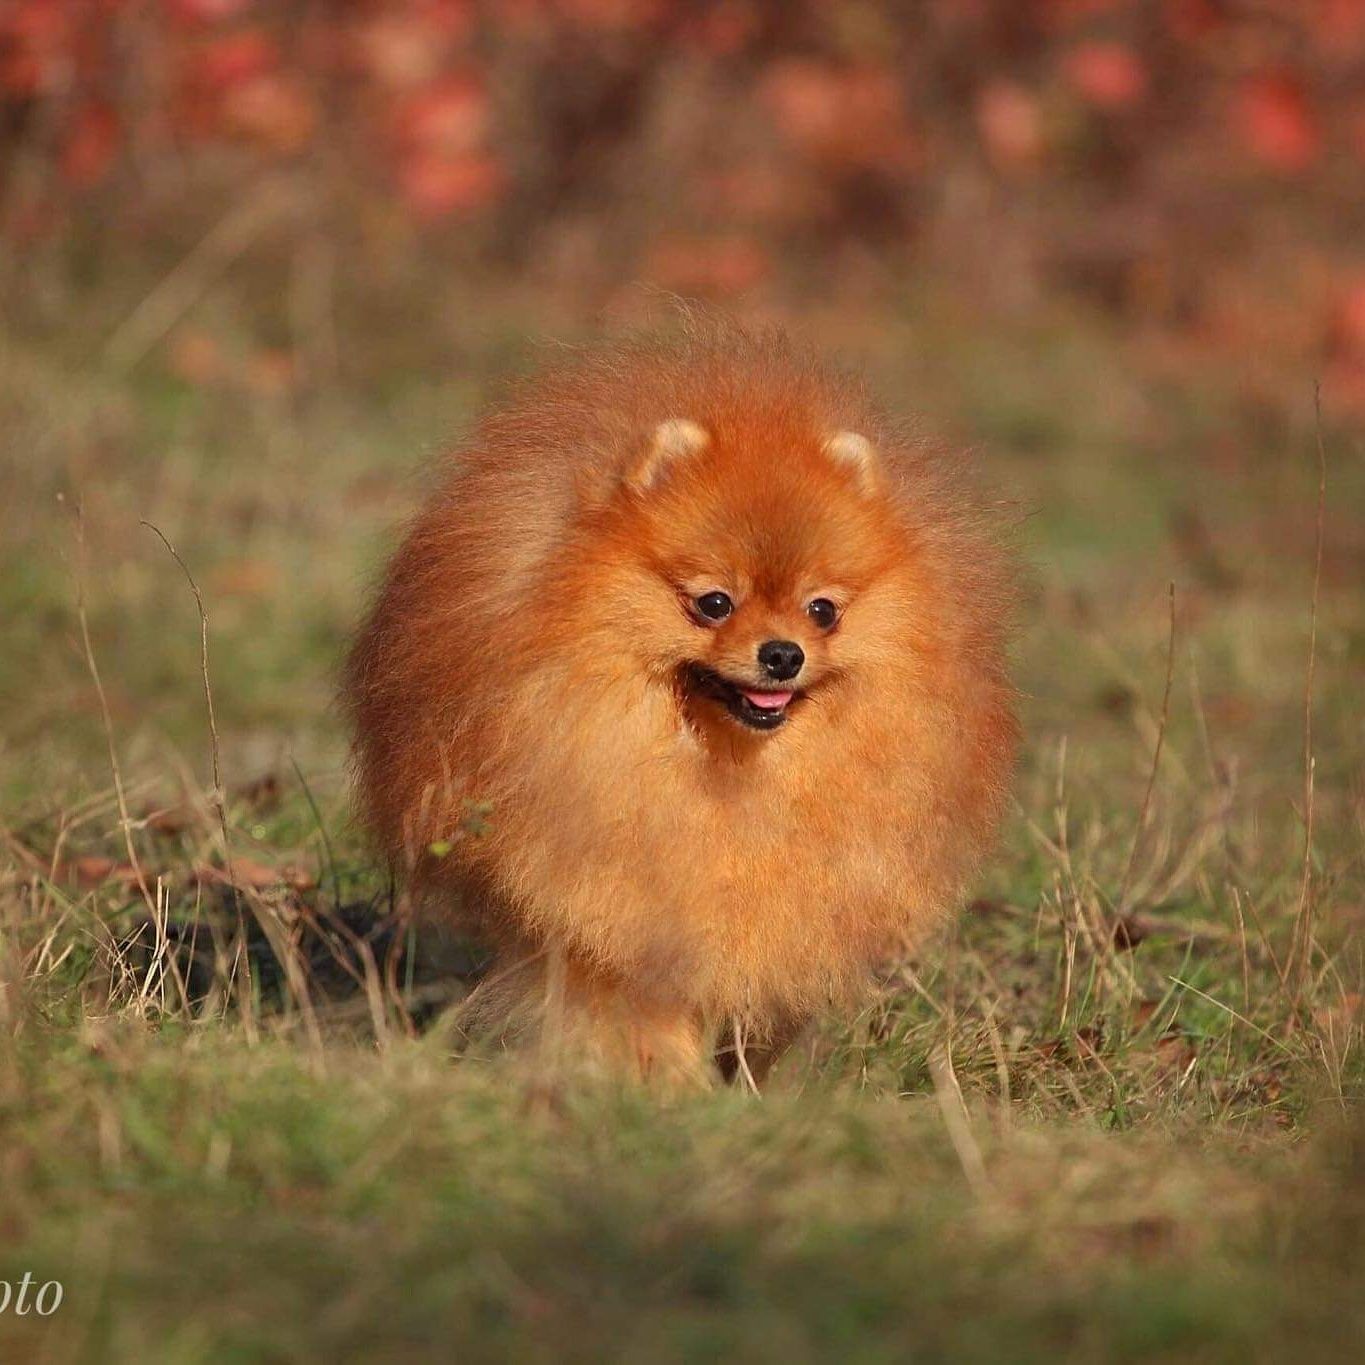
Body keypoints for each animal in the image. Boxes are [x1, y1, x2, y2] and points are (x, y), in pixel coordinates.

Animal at [346, 319, 1021, 1086]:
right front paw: (664, 1085)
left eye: (822, 610)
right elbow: (636, 1005)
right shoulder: (610, 904)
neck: (730, 774)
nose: (782, 654)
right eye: (714, 602)